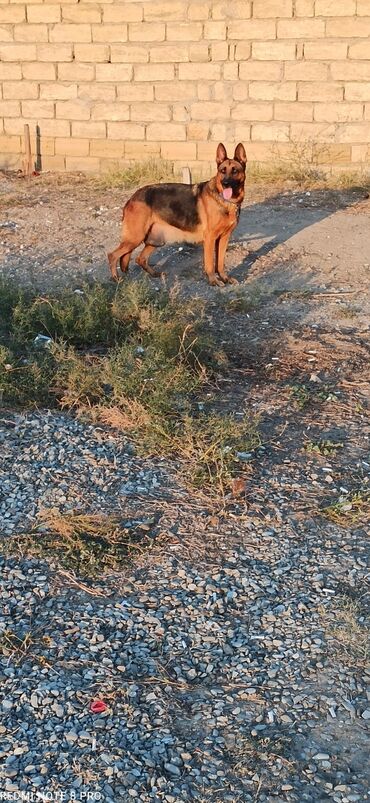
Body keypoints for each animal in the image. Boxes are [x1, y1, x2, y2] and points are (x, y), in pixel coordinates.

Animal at [107, 143, 246, 288]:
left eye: (234, 171)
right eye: (222, 171)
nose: (225, 184)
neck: (226, 201)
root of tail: (132, 197)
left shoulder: (224, 238)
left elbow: (220, 263)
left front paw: (225, 278)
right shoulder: (210, 239)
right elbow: (210, 264)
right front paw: (213, 280)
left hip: (156, 240)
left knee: (140, 258)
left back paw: (154, 274)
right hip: (135, 238)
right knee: (113, 255)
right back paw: (116, 279)